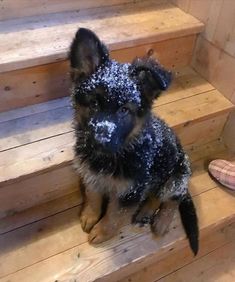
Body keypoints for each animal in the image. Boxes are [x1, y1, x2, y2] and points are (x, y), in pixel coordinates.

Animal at [69, 27, 198, 254]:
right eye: (94, 103)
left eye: (124, 110)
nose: (99, 141)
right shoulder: (91, 174)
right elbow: (93, 196)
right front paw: (90, 216)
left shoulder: (130, 190)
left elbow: (114, 214)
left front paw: (102, 231)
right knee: (155, 195)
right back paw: (146, 211)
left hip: (176, 176)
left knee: (172, 198)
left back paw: (162, 221)